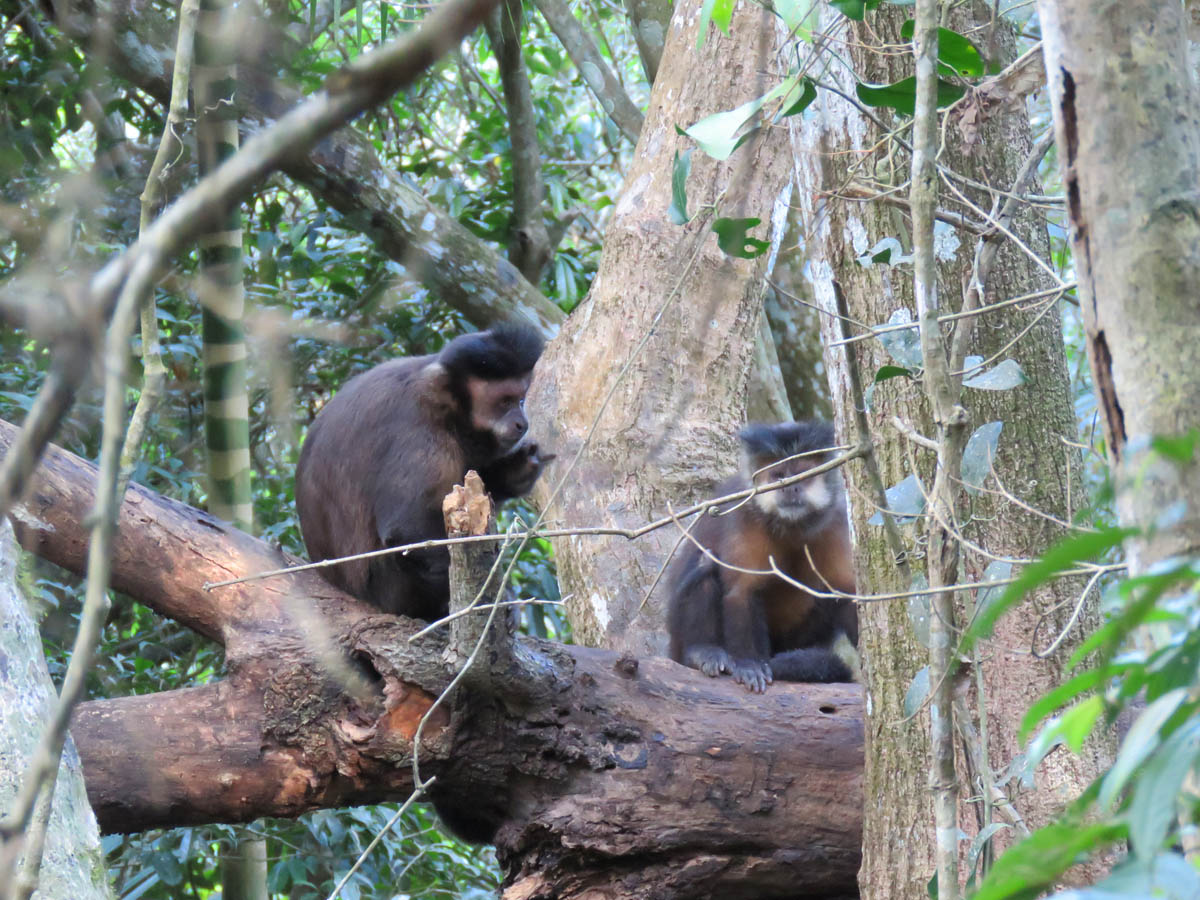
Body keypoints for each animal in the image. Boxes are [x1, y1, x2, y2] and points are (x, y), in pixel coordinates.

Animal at [295, 323, 548, 621]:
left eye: (520, 400)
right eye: (504, 401)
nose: (522, 422)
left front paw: (519, 471)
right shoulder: (419, 426)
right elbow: (408, 531)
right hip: (391, 592)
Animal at [666, 420, 857, 693]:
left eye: (802, 474)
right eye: (779, 476)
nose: (790, 486)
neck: (791, 527)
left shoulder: (836, 522)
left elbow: (849, 593)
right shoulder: (745, 518)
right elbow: (742, 591)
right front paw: (751, 664)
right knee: (706, 563)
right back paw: (701, 652)